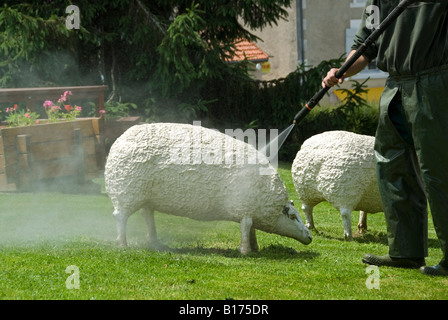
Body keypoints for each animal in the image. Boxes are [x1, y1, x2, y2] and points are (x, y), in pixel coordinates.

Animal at [105, 123, 312, 255]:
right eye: (292, 217)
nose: (309, 236)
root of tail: (118, 142)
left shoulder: (247, 209)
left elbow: (251, 230)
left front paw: (254, 248)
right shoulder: (244, 208)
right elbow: (246, 228)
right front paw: (245, 251)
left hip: (145, 197)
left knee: (147, 216)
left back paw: (154, 242)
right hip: (127, 194)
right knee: (120, 217)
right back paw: (122, 244)